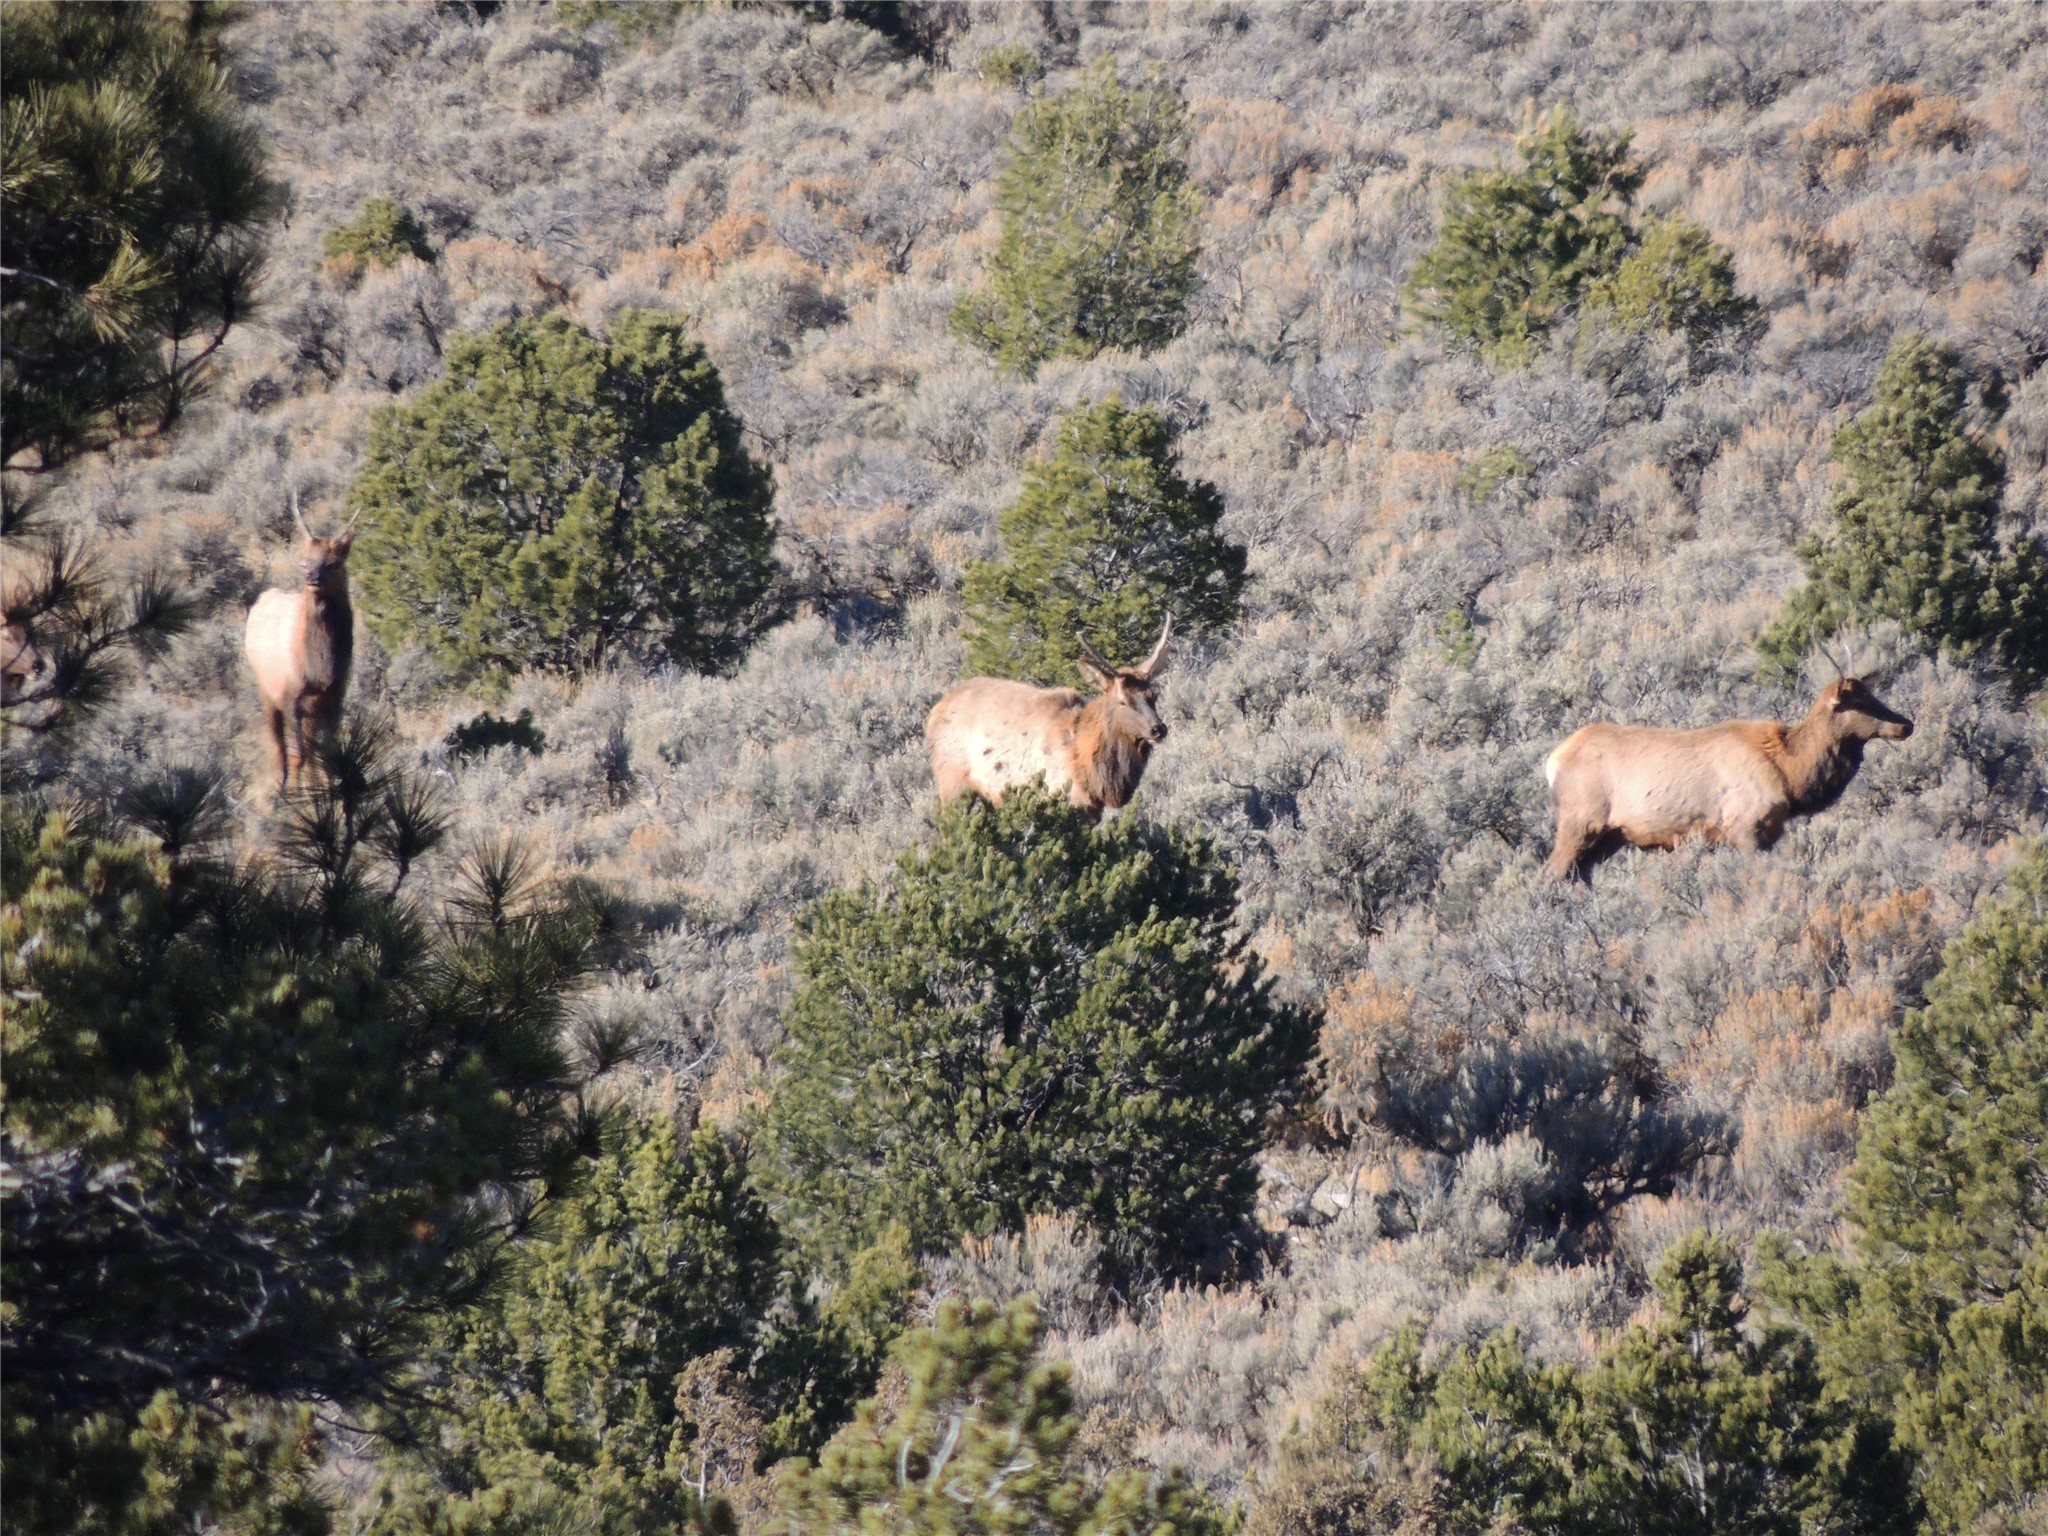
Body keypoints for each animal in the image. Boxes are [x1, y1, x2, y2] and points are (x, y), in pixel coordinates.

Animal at [244, 494, 355, 794]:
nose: (312, 577)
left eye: (334, 562)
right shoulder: (291, 697)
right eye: (305, 562)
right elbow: (300, 756)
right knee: (279, 746)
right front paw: (301, 794)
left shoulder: (334, 699)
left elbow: (327, 753)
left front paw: (329, 790)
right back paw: (279, 786)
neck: (321, 667)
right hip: (266, 691)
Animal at [1542, 674, 1914, 884]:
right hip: (1579, 821)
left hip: (1607, 837)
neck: (1787, 770)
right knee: (1550, 875)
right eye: (1860, 703)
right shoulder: (1744, 826)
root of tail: (1552, 761)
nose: (1905, 724)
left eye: (1873, 694)